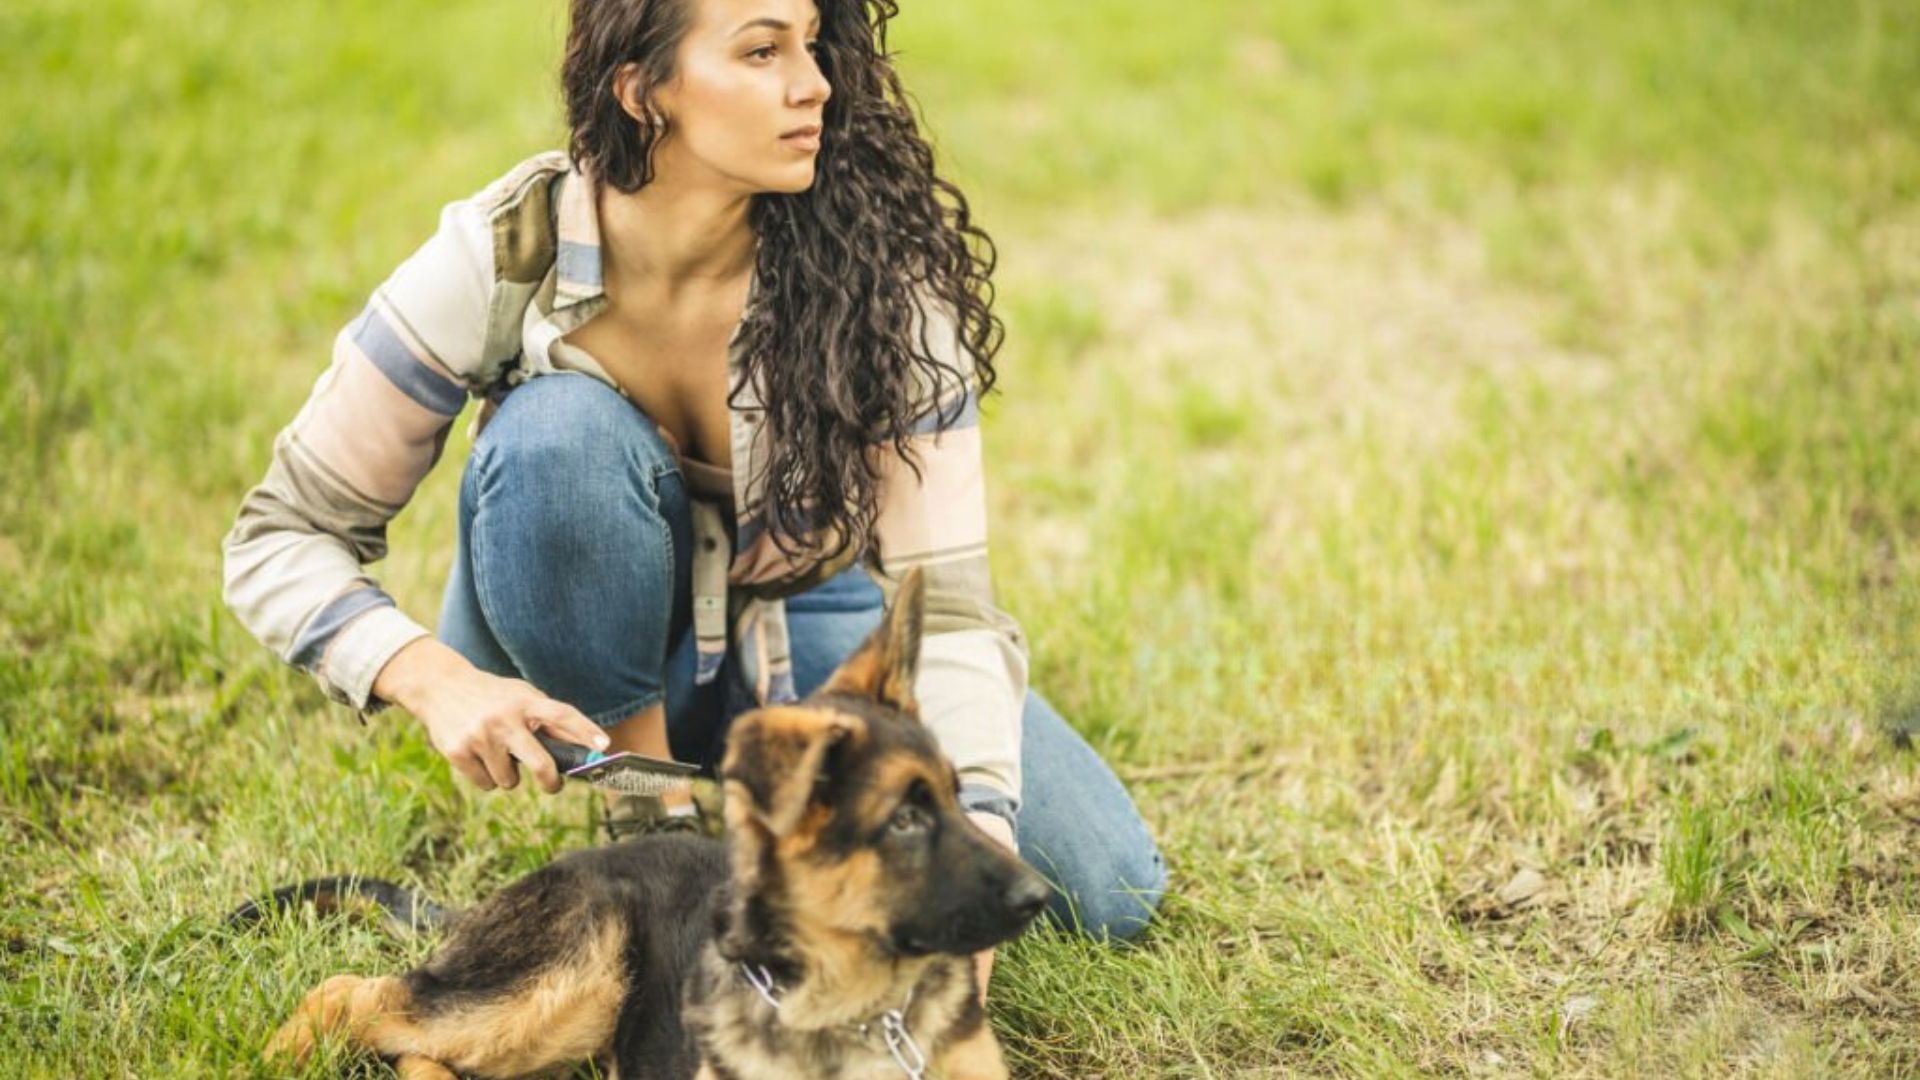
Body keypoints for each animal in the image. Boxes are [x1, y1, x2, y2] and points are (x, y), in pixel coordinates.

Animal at [253, 568, 1052, 1068]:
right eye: (904, 821)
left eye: (957, 797)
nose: (1040, 898)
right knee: (352, 994)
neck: (863, 1012)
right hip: (563, 981)